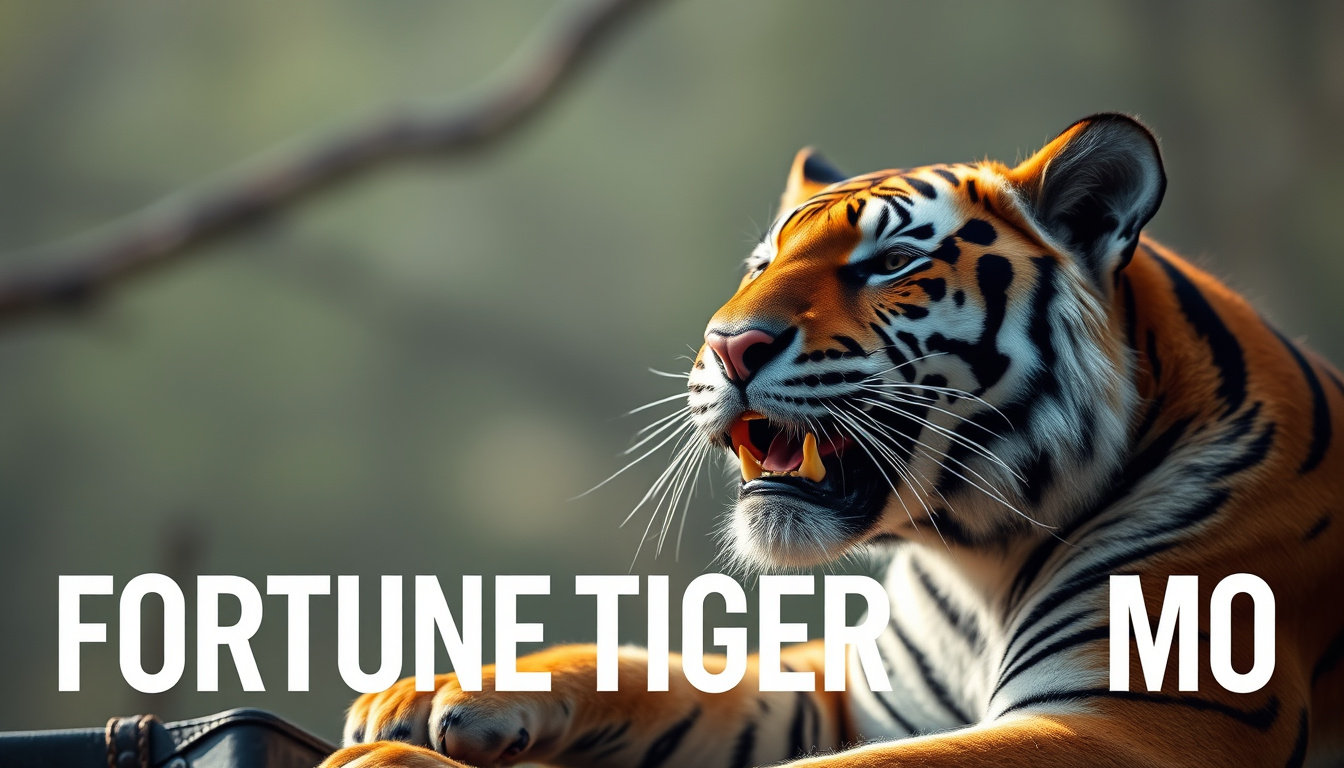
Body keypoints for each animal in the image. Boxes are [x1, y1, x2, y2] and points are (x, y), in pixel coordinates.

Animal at [321, 114, 1344, 768]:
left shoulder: (1133, 721)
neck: (977, 559)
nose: (728, 344)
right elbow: (666, 672)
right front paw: (426, 695)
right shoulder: (848, 692)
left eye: (892, 262)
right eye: (761, 264)